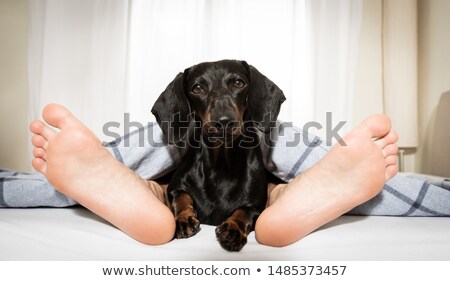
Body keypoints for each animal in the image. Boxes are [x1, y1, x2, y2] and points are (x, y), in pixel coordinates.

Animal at [151, 58, 284, 249]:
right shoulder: (174, 188)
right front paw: (184, 219)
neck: (221, 164)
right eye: (197, 88)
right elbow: (181, 198)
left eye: (239, 83)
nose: (224, 121)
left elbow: (245, 211)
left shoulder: (257, 205)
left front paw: (233, 228)